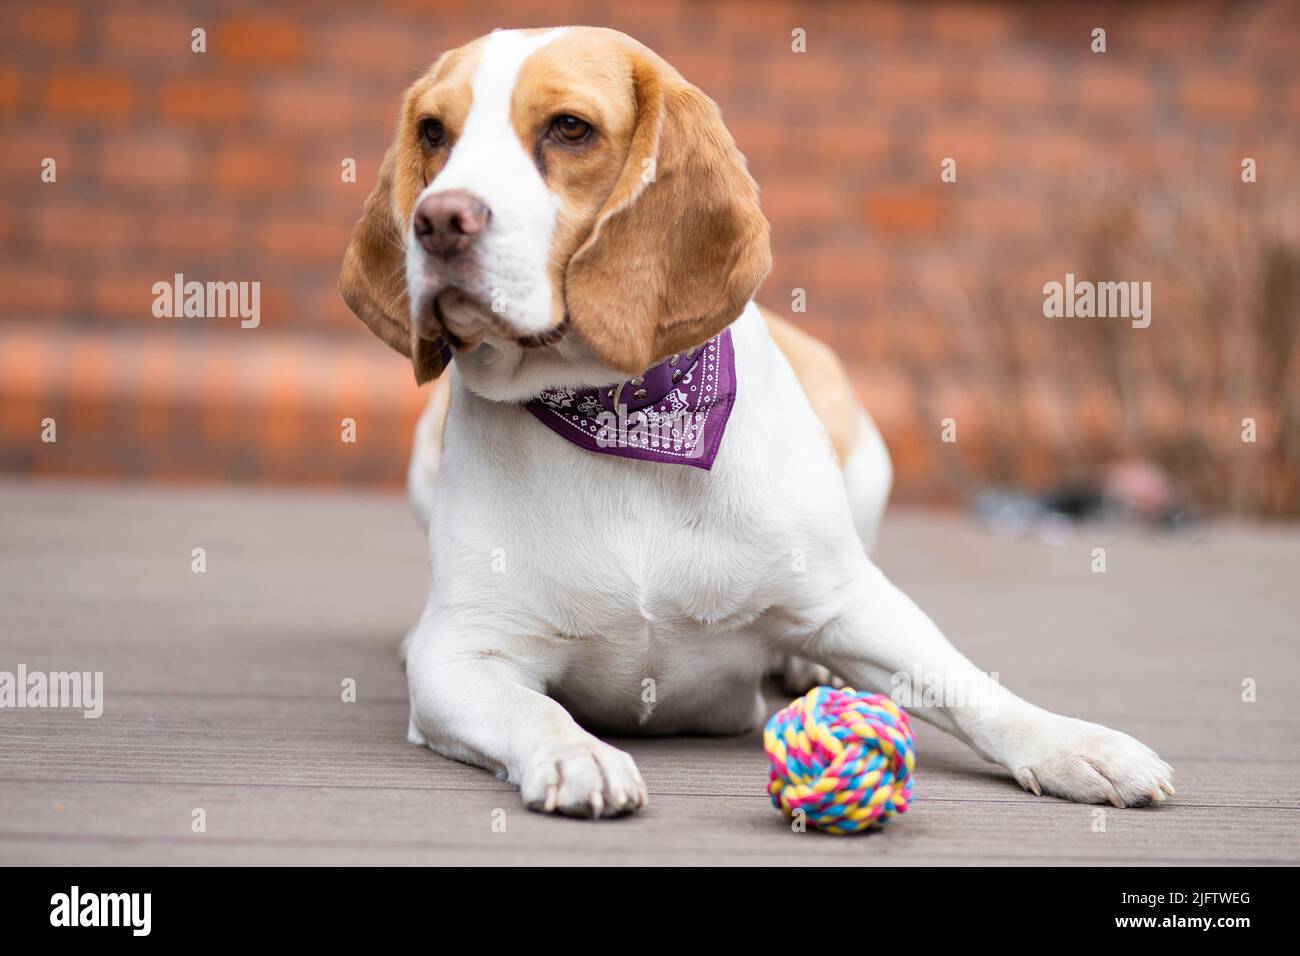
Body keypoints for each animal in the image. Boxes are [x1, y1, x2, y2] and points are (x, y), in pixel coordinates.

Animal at [340, 26, 1175, 816]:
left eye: (570, 128)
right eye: (433, 132)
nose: (437, 220)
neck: (623, 420)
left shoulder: (857, 601)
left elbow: (971, 687)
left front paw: (1074, 744)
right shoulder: (461, 661)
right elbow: (531, 709)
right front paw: (577, 754)